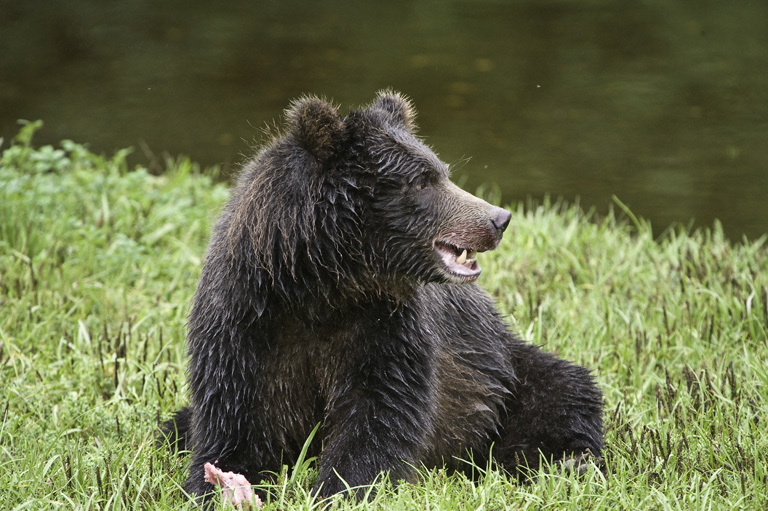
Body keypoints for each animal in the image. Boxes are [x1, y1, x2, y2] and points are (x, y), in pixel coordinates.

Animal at [164, 90, 608, 506]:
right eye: (423, 180)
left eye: (443, 172)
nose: (498, 218)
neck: (324, 287)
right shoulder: (247, 323)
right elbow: (235, 423)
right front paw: (220, 487)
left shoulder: (385, 326)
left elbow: (379, 416)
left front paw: (337, 490)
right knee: (174, 425)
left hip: (504, 370)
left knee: (562, 391)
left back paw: (567, 462)